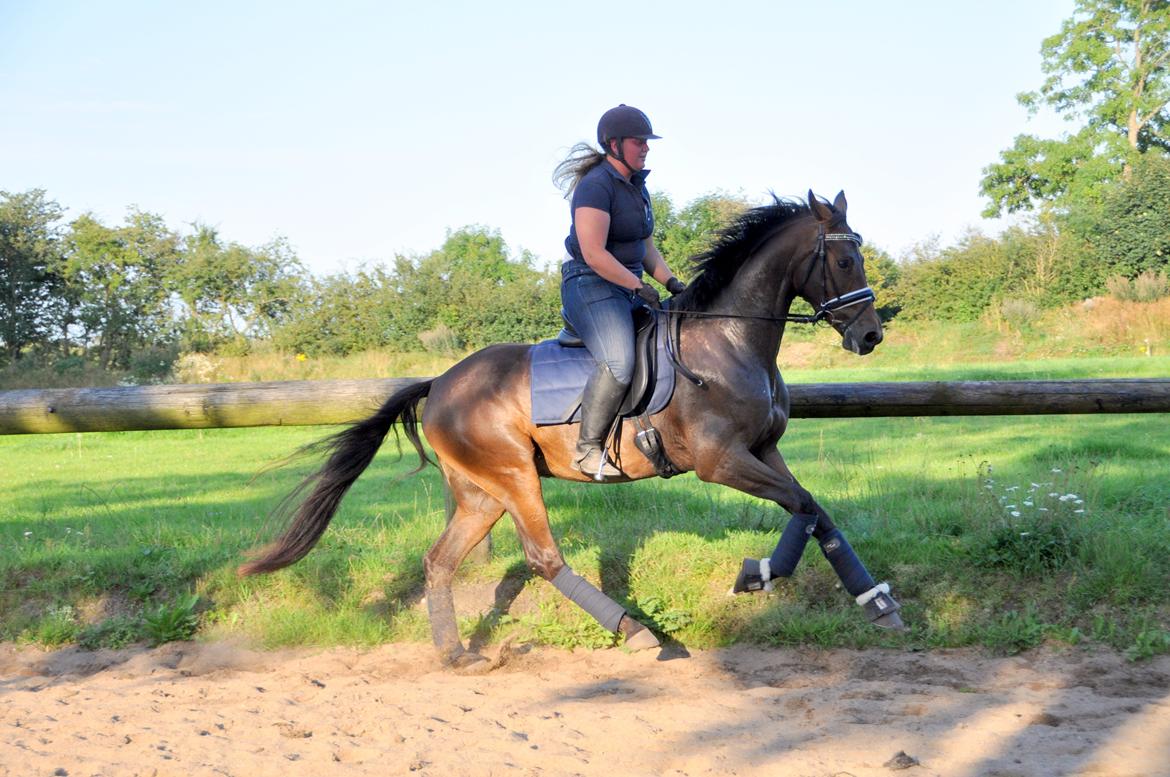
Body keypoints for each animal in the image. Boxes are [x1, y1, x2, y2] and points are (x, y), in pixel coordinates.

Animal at [242, 189, 903, 669]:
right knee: (542, 557)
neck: (731, 340)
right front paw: (757, 575)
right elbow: (802, 505)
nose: (870, 335)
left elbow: (813, 508)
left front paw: (875, 601)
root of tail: (439, 383)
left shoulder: (763, 448)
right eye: (844, 259)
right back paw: (635, 632)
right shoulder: (720, 461)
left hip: (481, 494)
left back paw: (457, 655)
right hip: (513, 476)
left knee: (440, 561)